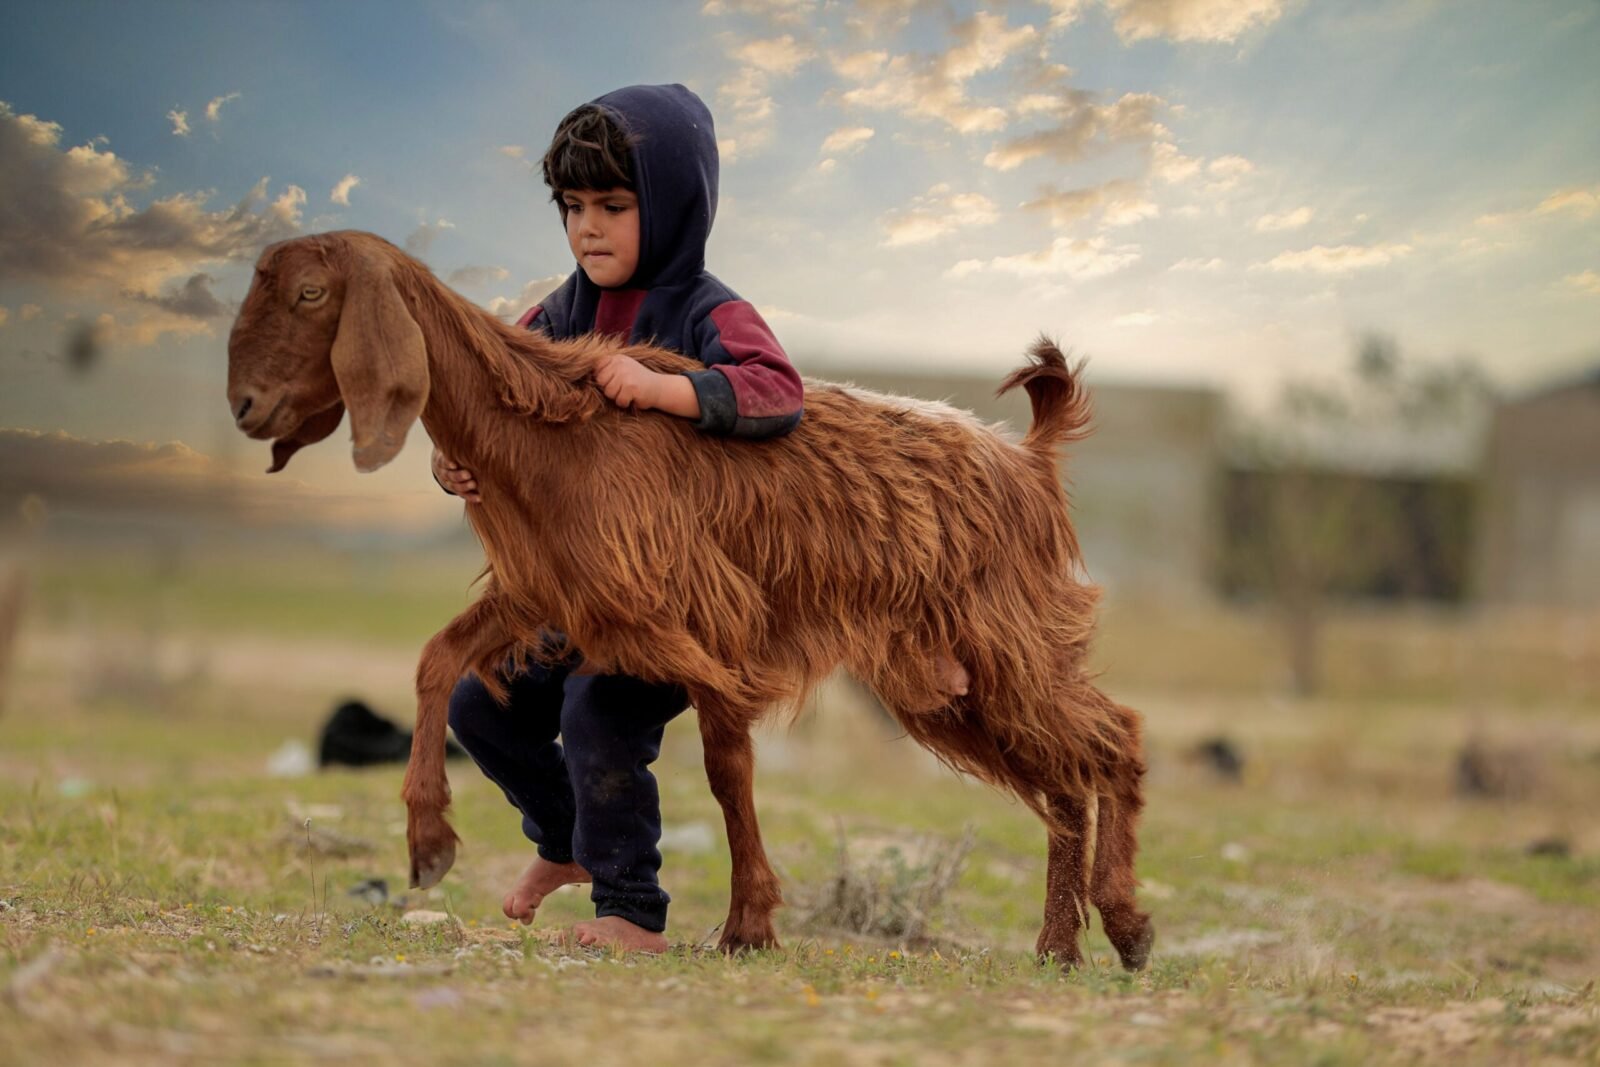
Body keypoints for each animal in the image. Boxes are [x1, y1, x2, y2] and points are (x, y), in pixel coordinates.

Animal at [226, 230, 1154, 968]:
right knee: (1064, 779)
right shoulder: (553, 592)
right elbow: (436, 662)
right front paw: (427, 840)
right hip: (946, 681)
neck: (553, 435)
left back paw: (1125, 923)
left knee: (1113, 739)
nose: (244, 405)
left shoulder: (709, 623)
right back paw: (1060, 945)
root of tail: (1029, 459)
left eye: (311, 293)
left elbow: (724, 767)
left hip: (1005, 642)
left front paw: (747, 924)